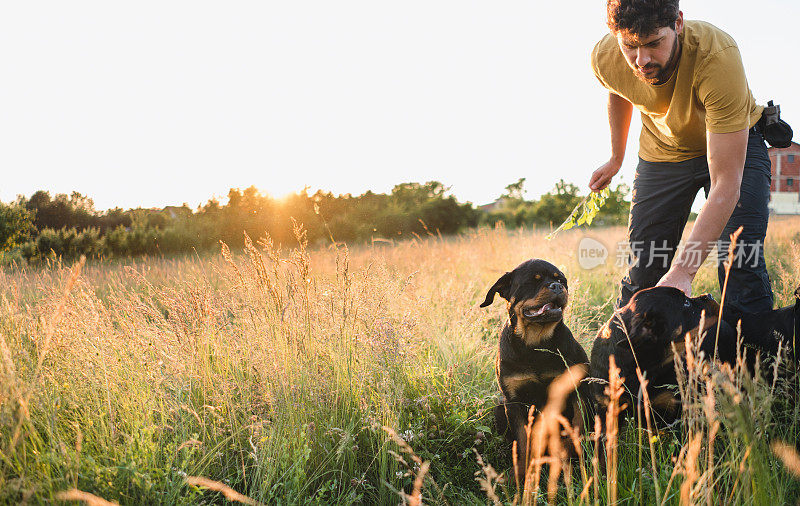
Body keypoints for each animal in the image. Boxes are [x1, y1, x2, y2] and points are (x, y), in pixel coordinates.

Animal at [482, 258, 588, 480]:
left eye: (561, 280)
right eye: (533, 281)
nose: (557, 286)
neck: (535, 344)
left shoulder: (576, 390)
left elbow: (577, 426)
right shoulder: (514, 402)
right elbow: (523, 440)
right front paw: (522, 473)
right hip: (500, 407)